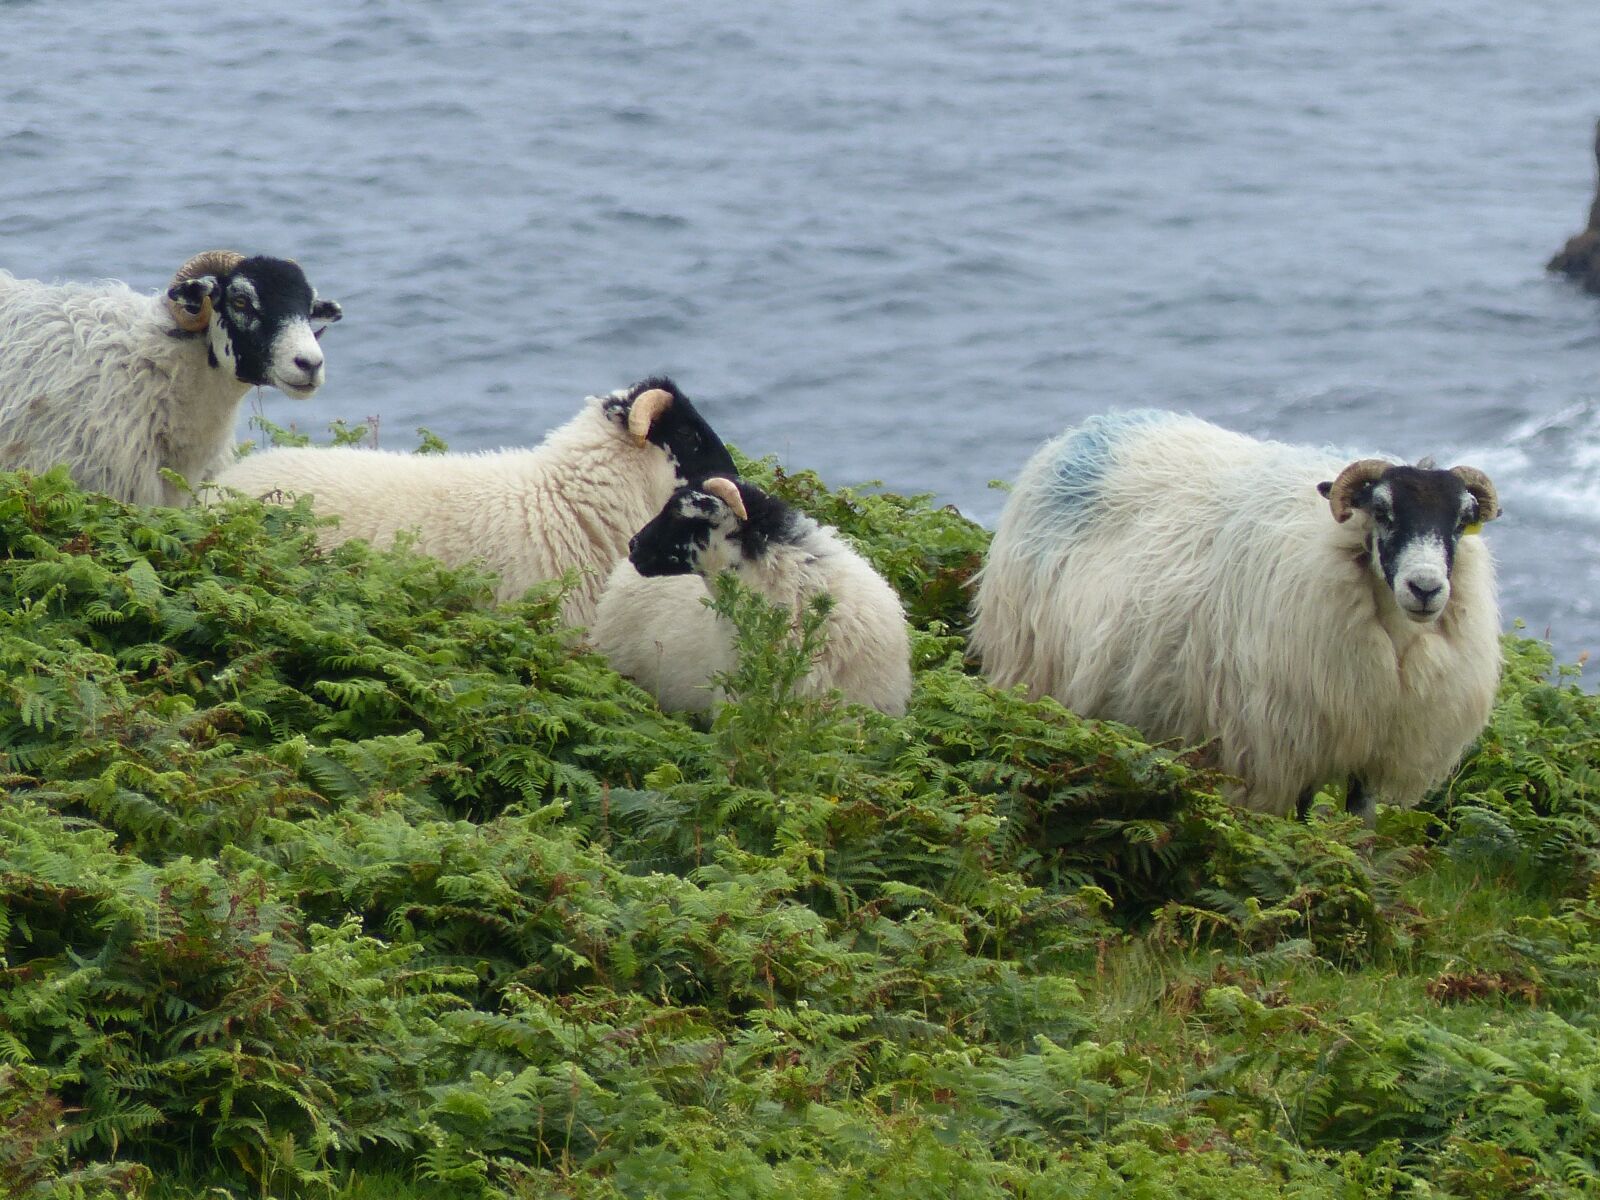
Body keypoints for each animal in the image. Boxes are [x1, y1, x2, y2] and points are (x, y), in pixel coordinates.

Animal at [969, 410, 1502, 821]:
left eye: (1460, 522)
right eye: (1384, 512)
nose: (1426, 588)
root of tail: (1081, 433)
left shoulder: (1376, 747)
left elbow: (1361, 825)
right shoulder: (1288, 738)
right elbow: (1302, 821)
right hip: (1033, 670)